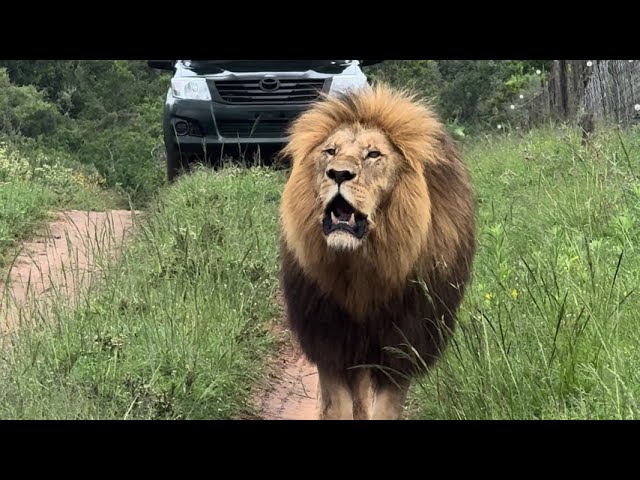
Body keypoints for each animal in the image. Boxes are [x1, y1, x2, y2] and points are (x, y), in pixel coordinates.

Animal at [278, 84, 478, 418]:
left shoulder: (403, 349)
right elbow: (340, 408)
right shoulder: (330, 344)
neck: (363, 264)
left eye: (373, 155)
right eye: (330, 152)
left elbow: (385, 409)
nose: (338, 174)